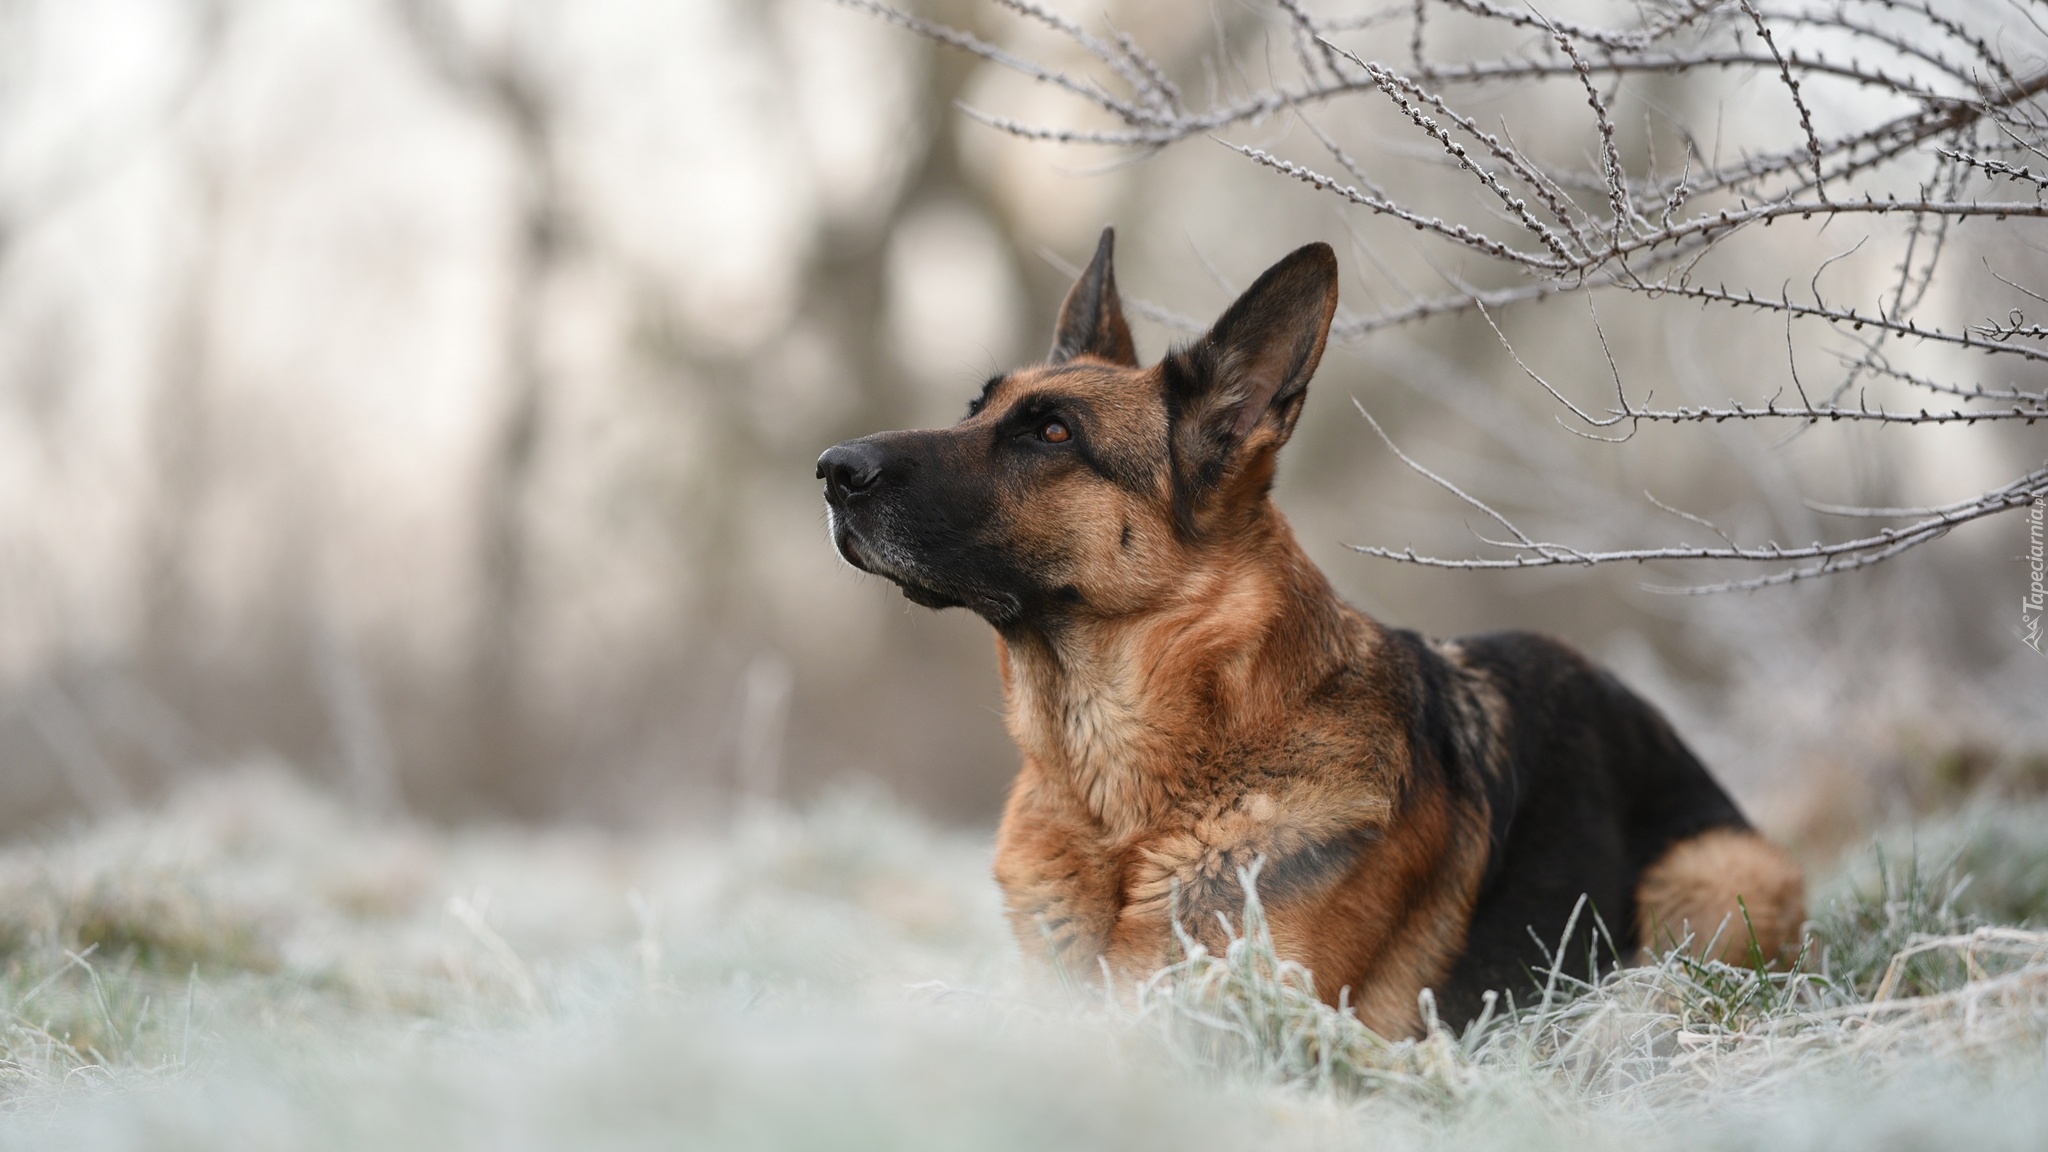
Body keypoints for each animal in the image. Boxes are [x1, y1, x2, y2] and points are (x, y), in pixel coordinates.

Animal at [823, 226, 1802, 1033]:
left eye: (1051, 433)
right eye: (974, 410)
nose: (832, 468)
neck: (1123, 808)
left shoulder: (1244, 1014)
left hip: (1707, 873)